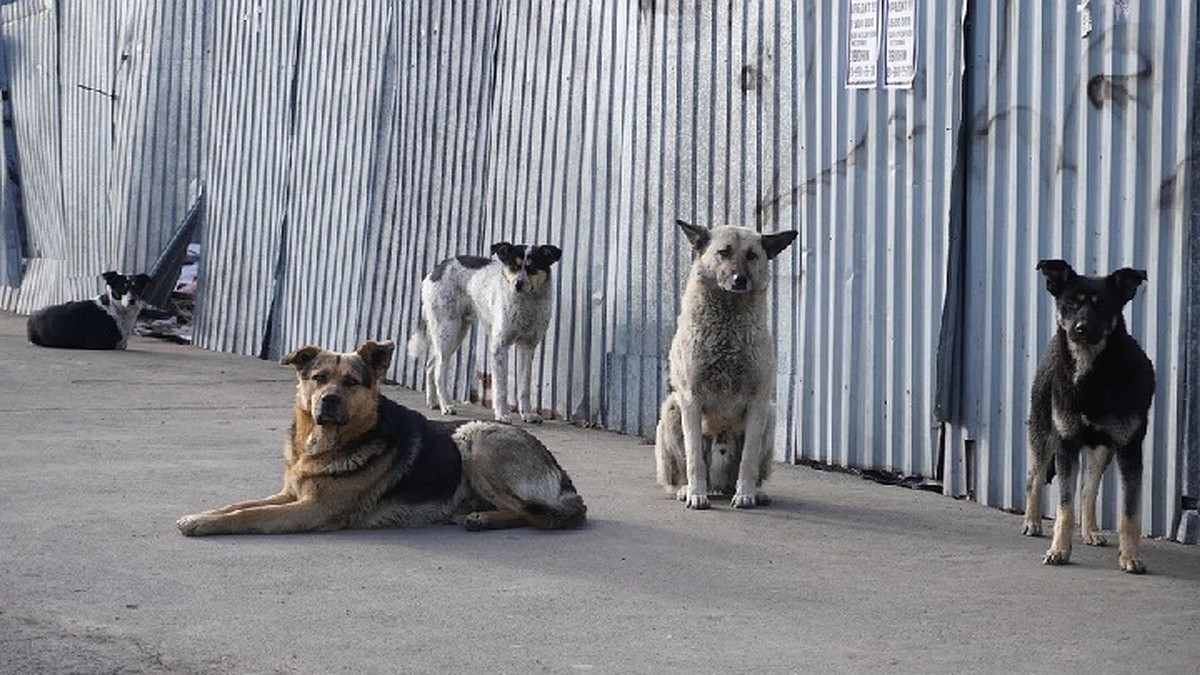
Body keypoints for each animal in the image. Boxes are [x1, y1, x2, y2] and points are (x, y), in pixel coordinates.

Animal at [177, 338, 585, 533]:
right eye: (318, 378)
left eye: (351, 382)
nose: (328, 401)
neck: (323, 444)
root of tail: (563, 476)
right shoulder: (291, 494)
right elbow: (238, 505)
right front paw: (202, 515)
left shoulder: (311, 509)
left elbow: (248, 516)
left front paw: (203, 525)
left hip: (475, 437)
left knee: (543, 514)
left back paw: (483, 519)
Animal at [408, 241, 561, 420]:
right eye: (513, 266)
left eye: (533, 267)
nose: (518, 284)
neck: (526, 303)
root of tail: (438, 268)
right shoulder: (500, 346)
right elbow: (501, 387)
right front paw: (502, 414)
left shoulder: (527, 347)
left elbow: (524, 387)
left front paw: (528, 414)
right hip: (447, 330)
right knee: (439, 370)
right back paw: (446, 405)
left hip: (456, 333)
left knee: (431, 365)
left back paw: (433, 402)